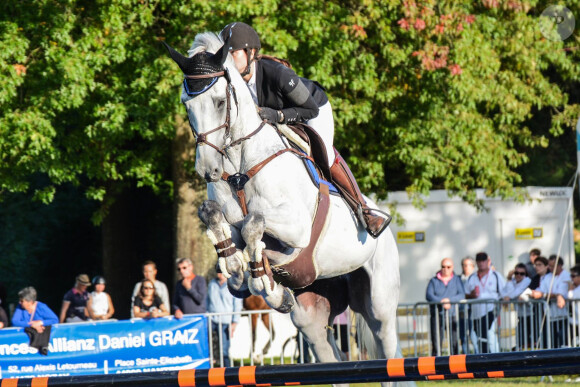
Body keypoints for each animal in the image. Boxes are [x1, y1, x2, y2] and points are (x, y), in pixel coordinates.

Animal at [163, 32, 398, 372]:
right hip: (313, 317)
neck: (239, 165)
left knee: (390, 350)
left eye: (219, 101)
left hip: (380, 308)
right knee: (325, 348)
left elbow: (253, 223)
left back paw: (372, 220)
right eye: (186, 103)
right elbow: (215, 217)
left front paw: (259, 277)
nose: (208, 170)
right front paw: (237, 269)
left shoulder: (295, 228)